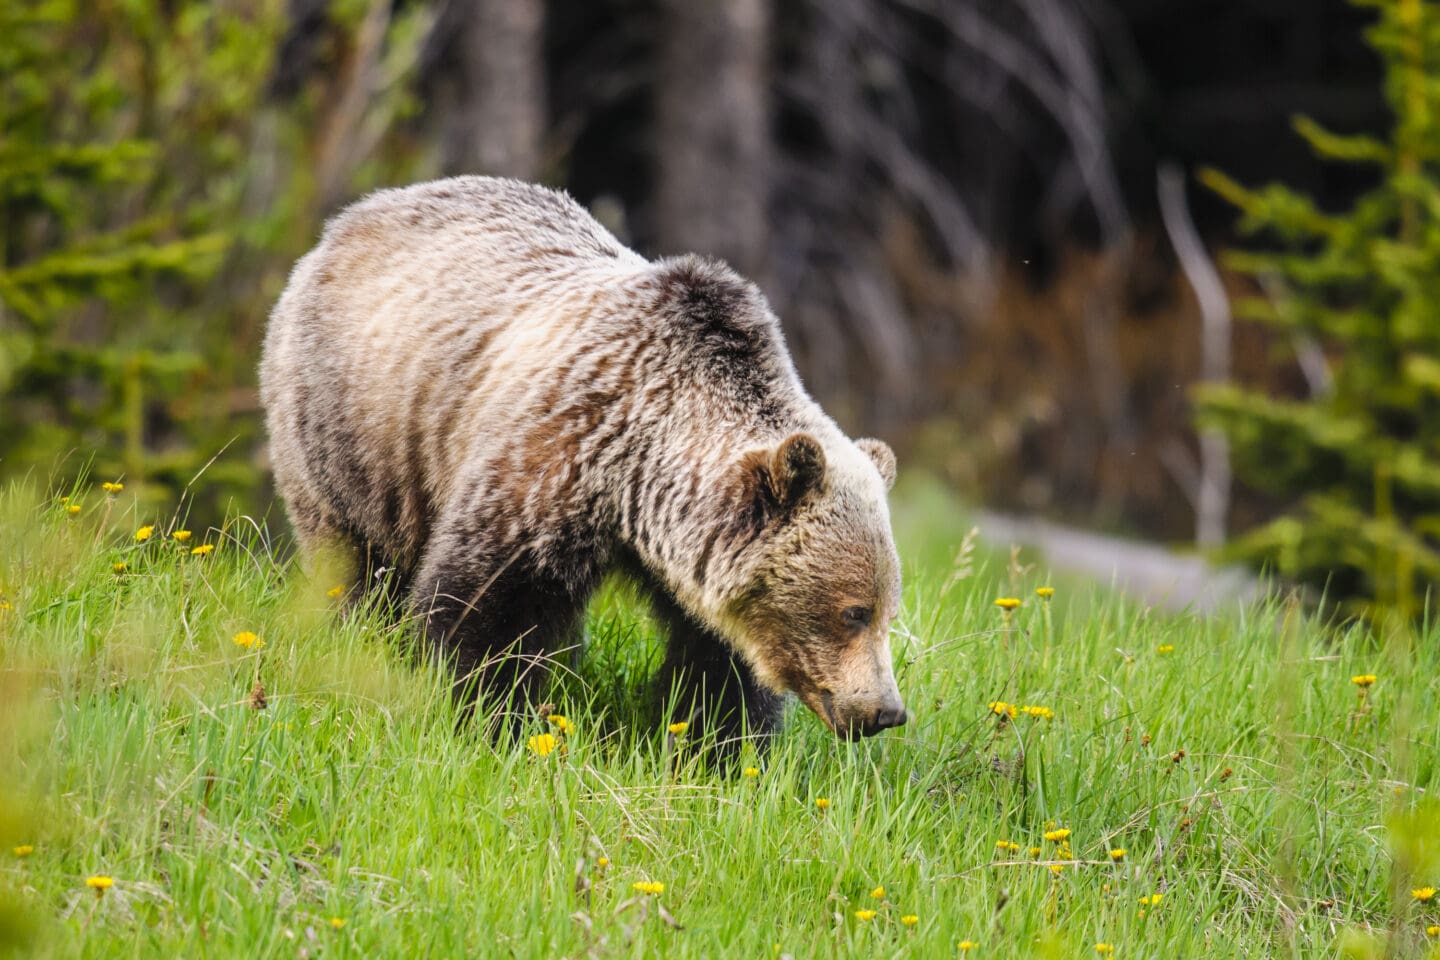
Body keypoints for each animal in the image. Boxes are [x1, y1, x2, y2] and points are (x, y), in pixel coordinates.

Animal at [259, 176, 907, 744]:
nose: (885, 712)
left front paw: (716, 745)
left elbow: (717, 665)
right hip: (353, 431)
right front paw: (488, 716)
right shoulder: (552, 462)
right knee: (354, 560)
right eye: (854, 611)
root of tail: (349, 219)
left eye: (889, 611)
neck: (640, 478)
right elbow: (486, 608)